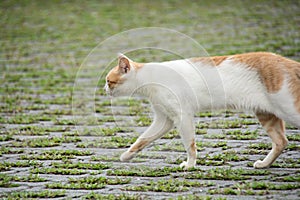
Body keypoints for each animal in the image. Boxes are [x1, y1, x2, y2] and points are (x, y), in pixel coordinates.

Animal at [105, 52, 300, 170]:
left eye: (109, 81)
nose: (104, 89)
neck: (150, 78)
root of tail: (286, 61)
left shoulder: (182, 117)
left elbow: (190, 145)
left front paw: (190, 165)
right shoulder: (164, 119)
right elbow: (143, 139)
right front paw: (126, 155)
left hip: (288, 109)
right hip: (266, 114)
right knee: (281, 141)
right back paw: (265, 164)